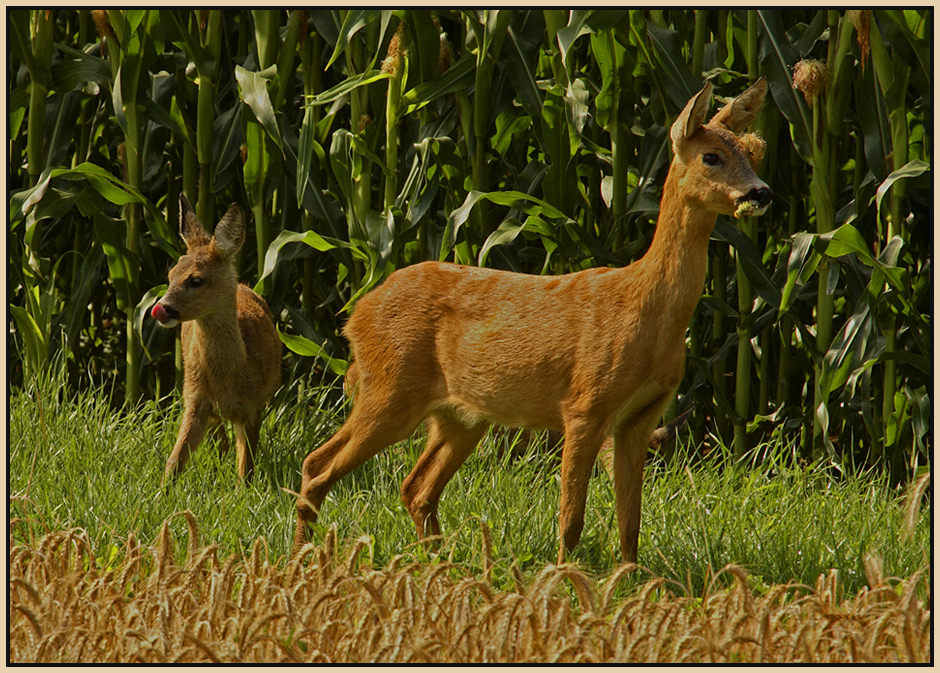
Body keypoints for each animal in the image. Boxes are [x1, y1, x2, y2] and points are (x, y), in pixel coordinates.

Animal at [151, 197, 280, 486]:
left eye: (196, 280)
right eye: (170, 275)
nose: (161, 308)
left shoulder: (254, 406)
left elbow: (247, 467)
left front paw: (243, 491)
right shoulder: (195, 399)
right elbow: (174, 460)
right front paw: (161, 490)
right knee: (220, 439)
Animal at [292, 77, 772, 560]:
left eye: (752, 153)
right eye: (711, 155)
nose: (761, 193)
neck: (645, 310)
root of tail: (356, 314)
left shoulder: (640, 415)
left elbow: (631, 523)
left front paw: (632, 577)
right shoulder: (585, 404)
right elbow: (571, 520)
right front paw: (563, 575)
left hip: (462, 415)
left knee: (416, 487)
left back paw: (438, 563)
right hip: (391, 387)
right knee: (318, 465)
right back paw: (305, 560)